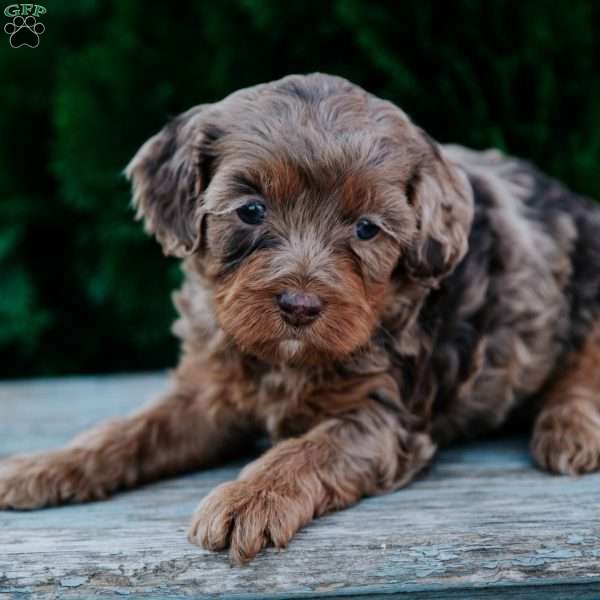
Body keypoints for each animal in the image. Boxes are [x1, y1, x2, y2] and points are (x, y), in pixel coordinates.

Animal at [1, 74, 600, 564]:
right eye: (250, 210)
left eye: (367, 229)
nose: (299, 305)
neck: (280, 361)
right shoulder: (207, 391)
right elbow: (127, 431)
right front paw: (42, 466)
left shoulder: (379, 417)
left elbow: (306, 450)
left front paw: (247, 499)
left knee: (582, 371)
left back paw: (568, 430)